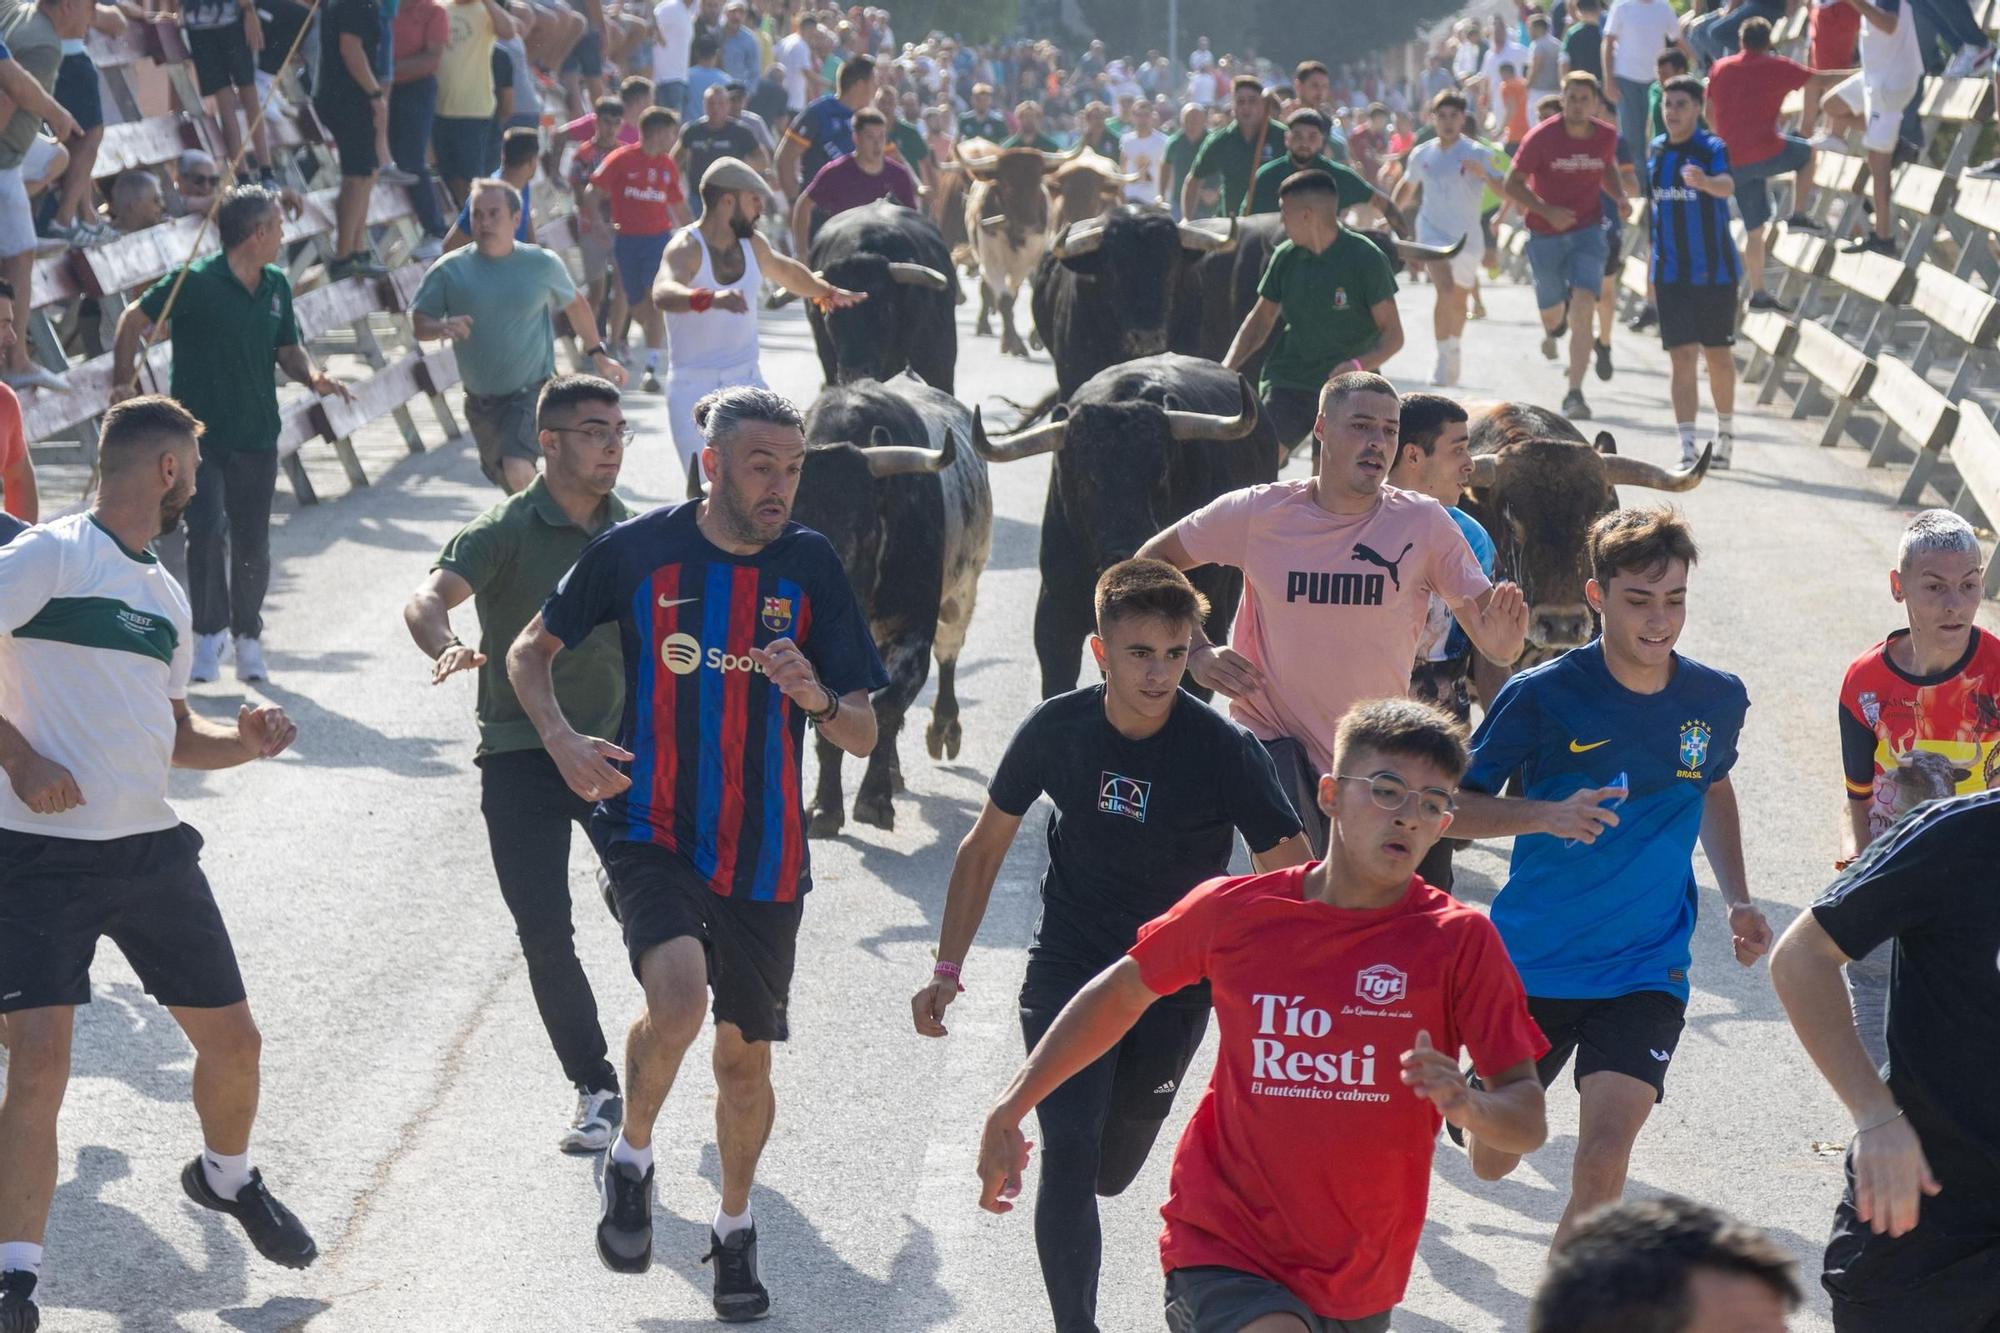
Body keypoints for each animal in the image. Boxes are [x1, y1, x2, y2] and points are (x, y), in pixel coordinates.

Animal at [788, 376, 992, 832]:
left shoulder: (913, 632)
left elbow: (886, 709)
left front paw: (873, 799)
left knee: (948, 656)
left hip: (961, 595)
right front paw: (826, 806)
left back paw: (943, 729)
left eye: (861, 529)